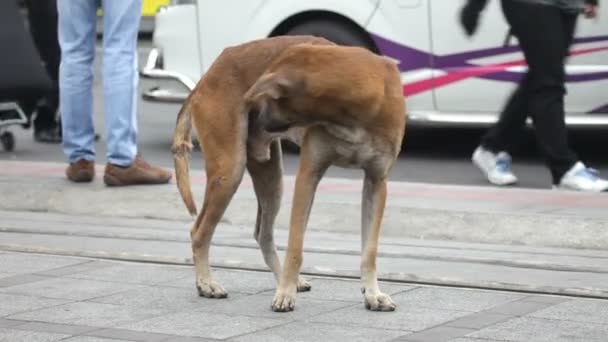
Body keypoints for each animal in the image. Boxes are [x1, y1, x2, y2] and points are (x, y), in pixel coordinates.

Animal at [173, 35, 406, 312]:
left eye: (274, 98)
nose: (252, 110)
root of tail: (204, 78)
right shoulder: (308, 176)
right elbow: (295, 245)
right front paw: (285, 293)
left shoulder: (376, 181)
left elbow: (369, 250)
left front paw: (372, 293)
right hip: (229, 171)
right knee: (199, 232)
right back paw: (207, 283)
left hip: (271, 179)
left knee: (262, 234)